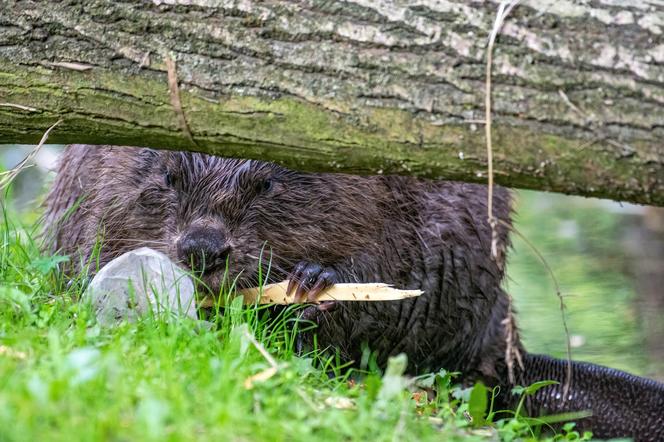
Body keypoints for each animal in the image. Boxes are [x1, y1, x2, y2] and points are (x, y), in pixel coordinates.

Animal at [45, 145, 664, 438]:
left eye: (266, 183)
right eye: (169, 176)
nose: (203, 248)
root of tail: (508, 358)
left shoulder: (409, 200)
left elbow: (390, 270)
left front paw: (312, 281)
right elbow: (84, 236)